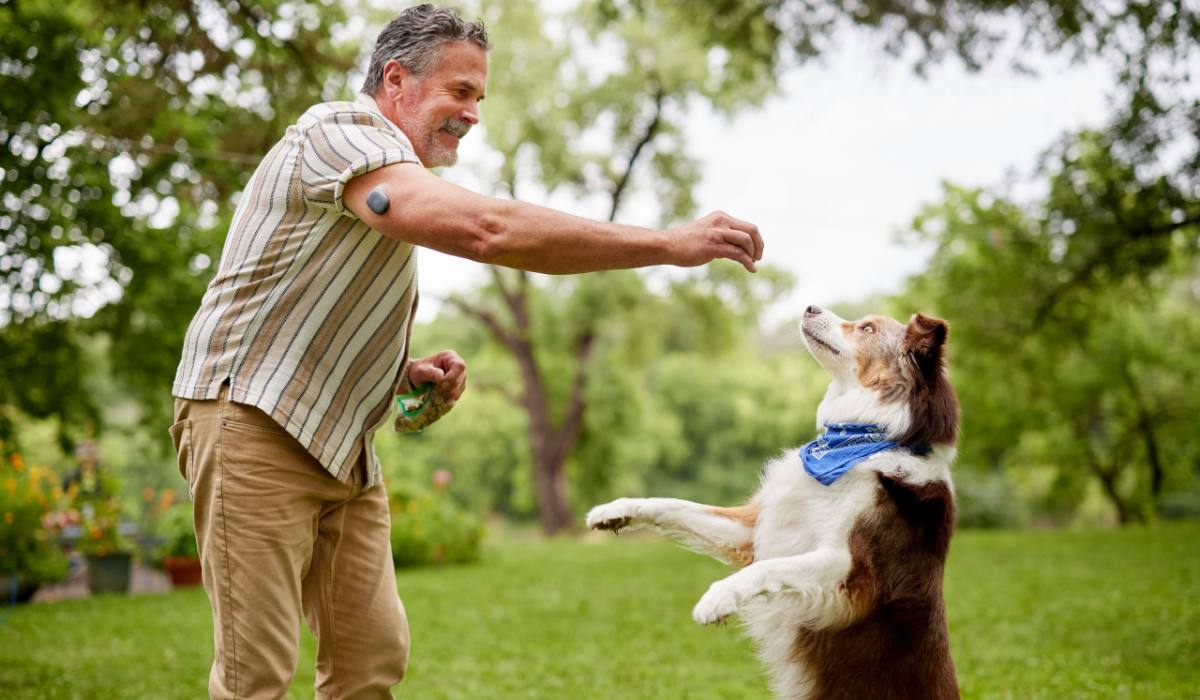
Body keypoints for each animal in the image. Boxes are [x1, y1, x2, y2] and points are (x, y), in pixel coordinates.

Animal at [585, 307, 960, 700]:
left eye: (867, 328)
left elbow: (768, 568)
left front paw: (717, 598)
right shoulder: (755, 529)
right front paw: (613, 511)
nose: (810, 307)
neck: (862, 444)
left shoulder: (853, 571)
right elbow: (673, 504)